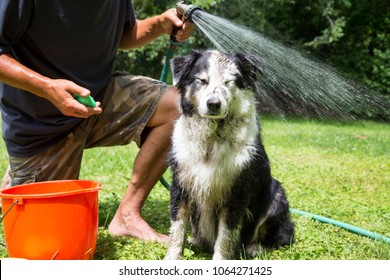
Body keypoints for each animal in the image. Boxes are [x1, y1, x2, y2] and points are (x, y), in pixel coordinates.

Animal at [165, 50, 296, 260]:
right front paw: (172, 257)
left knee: (282, 237)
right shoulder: (181, 184)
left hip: (276, 195)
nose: (213, 104)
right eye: (201, 80)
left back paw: (255, 247)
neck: (212, 140)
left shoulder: (236, 193)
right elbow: (177, 226)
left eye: (229, 82)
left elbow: (225, 234)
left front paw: (220, 259)